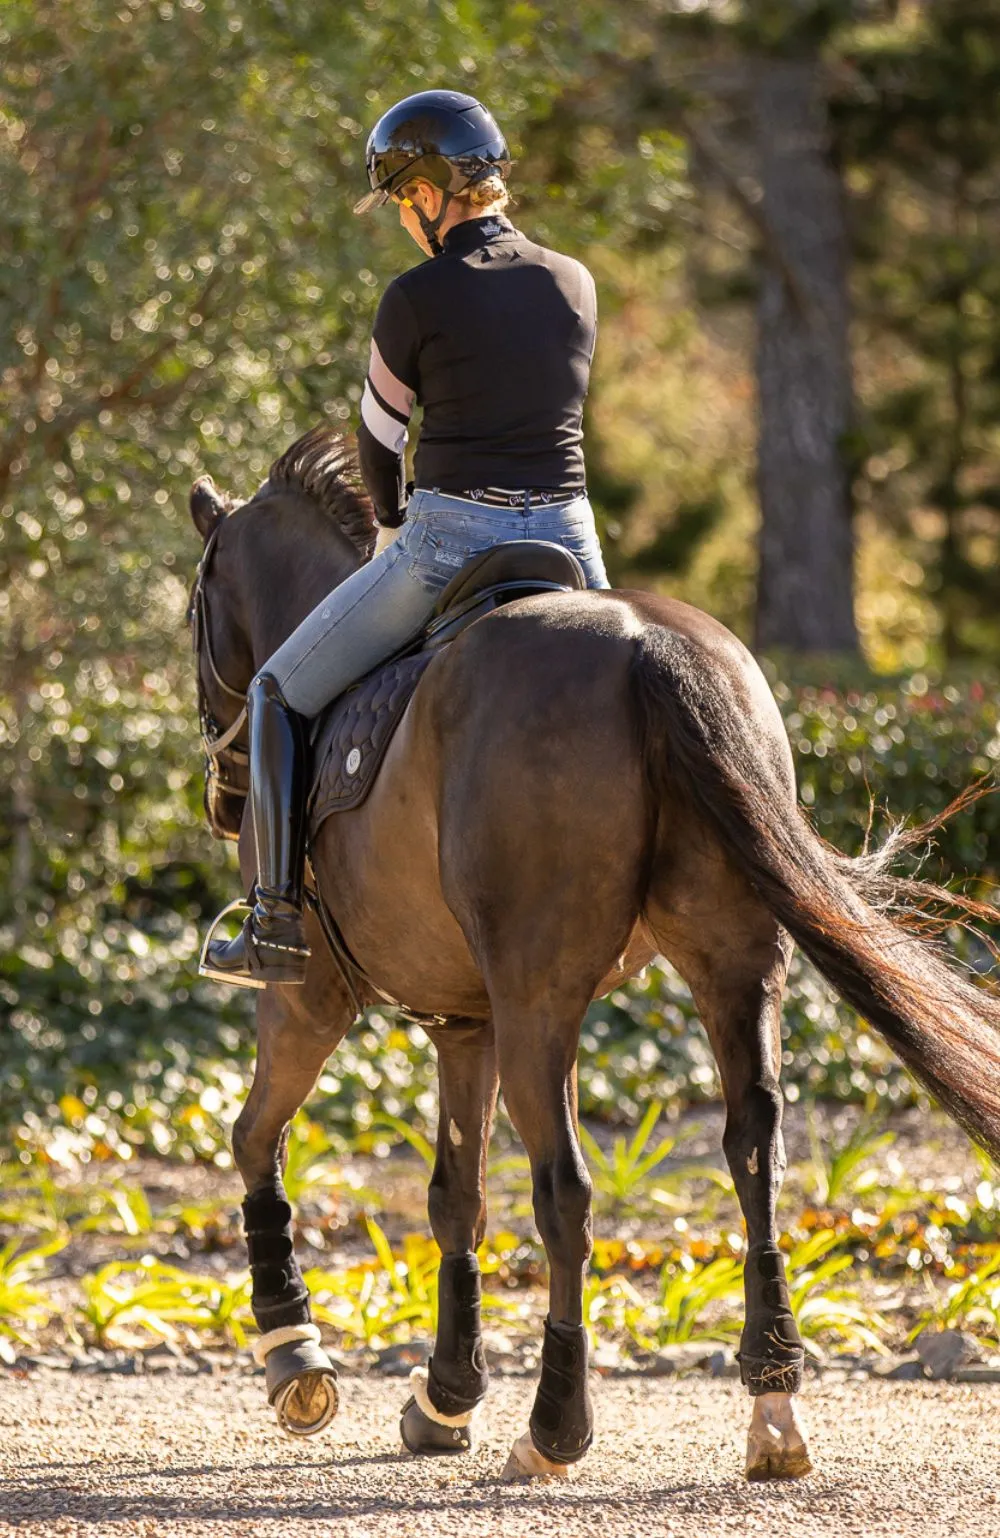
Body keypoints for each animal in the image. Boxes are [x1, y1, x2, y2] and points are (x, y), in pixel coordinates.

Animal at [186, 427, 996, 1482]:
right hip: (732, 974)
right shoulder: (466, 1026)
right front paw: (444, 1398)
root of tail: (648, 647)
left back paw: (555, 1427)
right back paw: (773, 1410)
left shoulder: (310, 999)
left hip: (538, 1005)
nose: (223, 795)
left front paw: (295, 1358)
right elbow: (456, 1199)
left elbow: (257, 1139)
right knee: (755, 1153)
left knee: (565, 1186)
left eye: (194, 606)